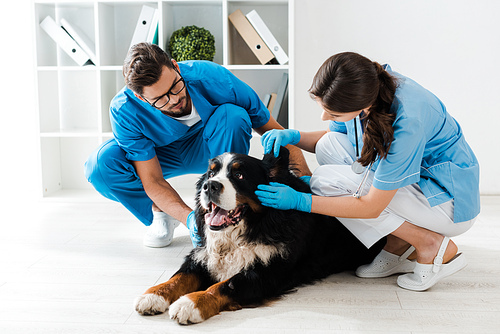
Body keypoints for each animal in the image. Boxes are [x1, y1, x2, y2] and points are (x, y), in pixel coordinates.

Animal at [133, 148, 382, 324]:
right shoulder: (202, 255)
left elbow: (225, 285)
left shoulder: (267, 272)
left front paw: (189, 303)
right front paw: (153, 295)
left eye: (239, 174)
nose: (209, 185)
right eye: (211, 173)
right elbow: (179, 277)